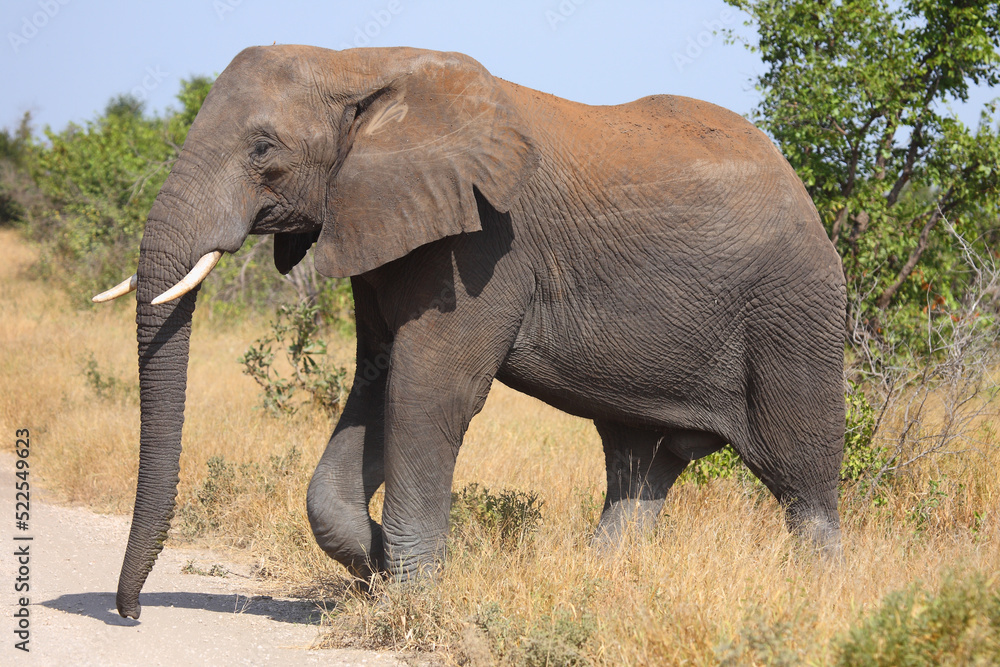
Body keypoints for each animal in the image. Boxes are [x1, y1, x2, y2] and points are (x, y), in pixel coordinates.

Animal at [94, 45, 846, 620]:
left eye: (262, 149)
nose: (129, 614)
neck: (355, 62)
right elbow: (377, 383)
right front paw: (378, 565)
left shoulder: (484, 246)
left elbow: (429, 392)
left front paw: (412, 598)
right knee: (639, 467)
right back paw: (601, 582)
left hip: (794, 312)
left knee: (803, 481)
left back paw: (822, 600)